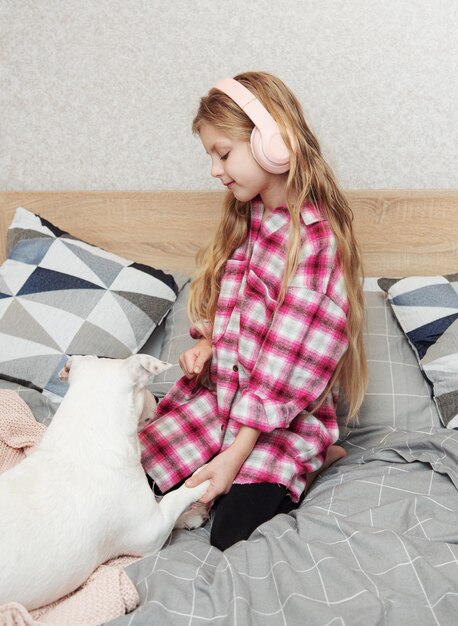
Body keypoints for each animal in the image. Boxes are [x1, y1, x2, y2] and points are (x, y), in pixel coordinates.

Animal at [0, 354, 210, 608]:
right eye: (144, 387)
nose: (158, 397)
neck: (83, 443)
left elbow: (169, 509)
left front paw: (192, 516)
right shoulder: (151, 531)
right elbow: (173, 499)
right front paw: (203, 479)